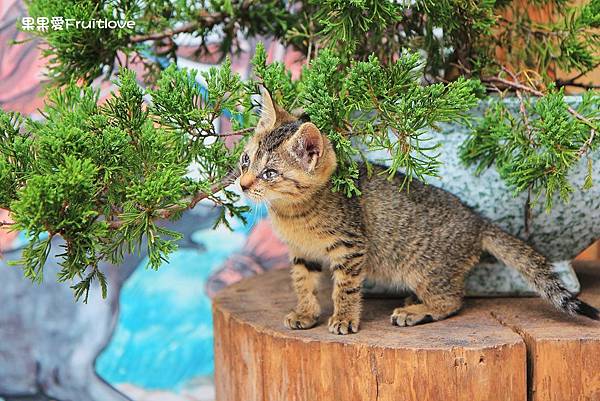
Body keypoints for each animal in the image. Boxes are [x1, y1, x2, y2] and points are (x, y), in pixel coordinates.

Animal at [237, 90, 596, 334]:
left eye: (270, 173)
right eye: (245, 160)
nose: (242, 183)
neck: (293, 213)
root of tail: (478, 220)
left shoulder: (351, 247)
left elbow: (345, 288)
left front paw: (344, 317)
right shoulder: (302, 252)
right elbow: (302, 282)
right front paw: (306, 312)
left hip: (424, 270)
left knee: (453, 300)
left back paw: (415, 311)